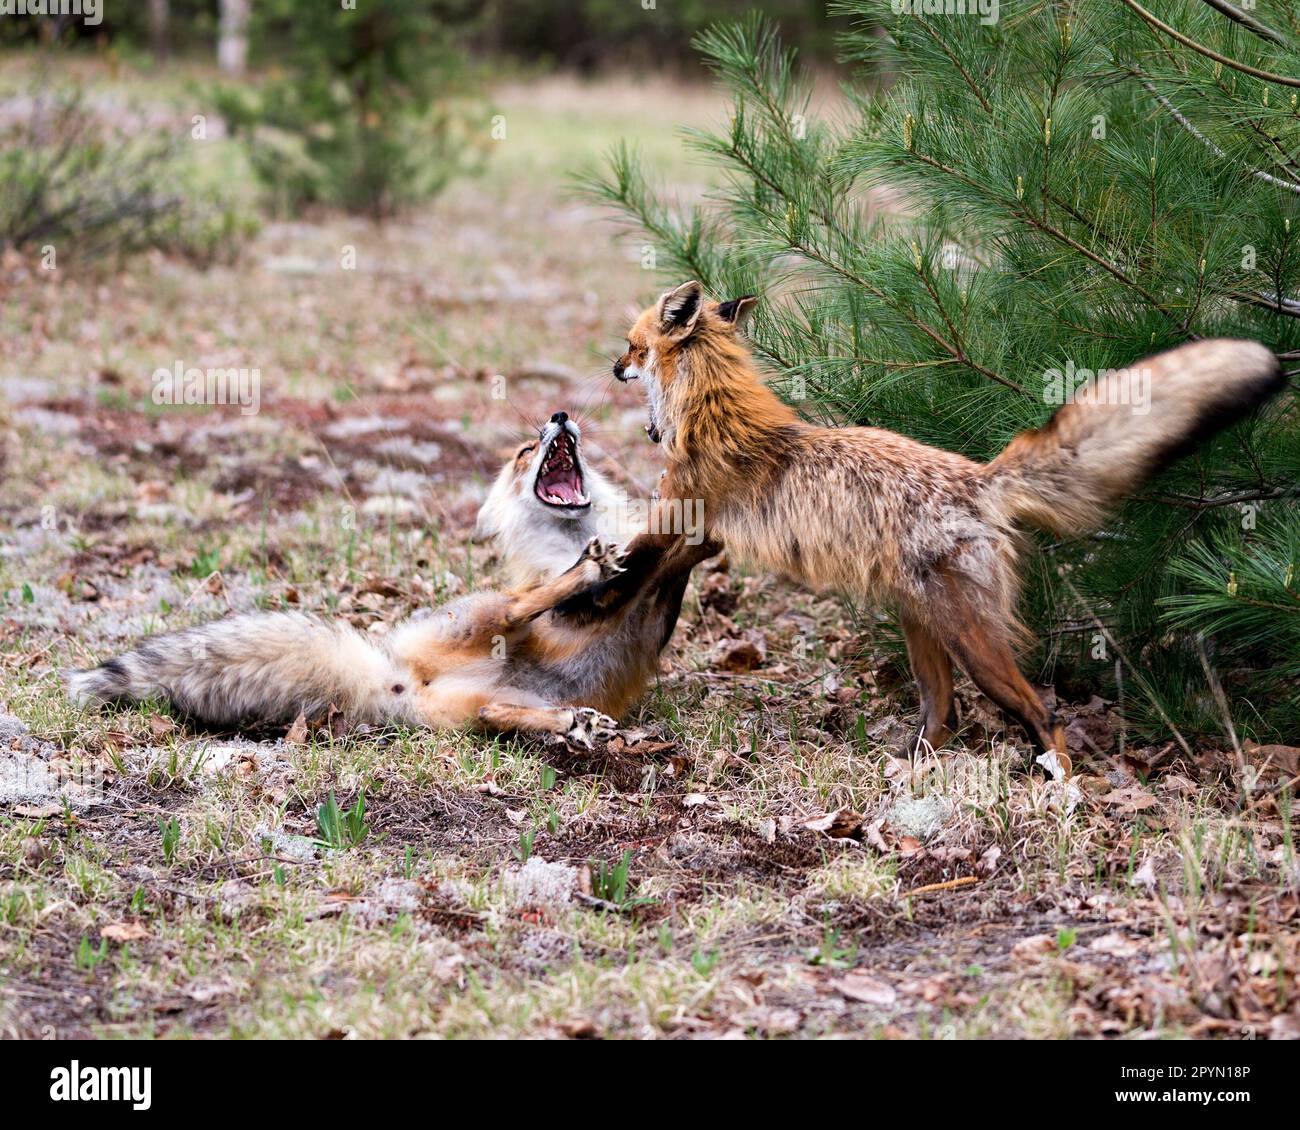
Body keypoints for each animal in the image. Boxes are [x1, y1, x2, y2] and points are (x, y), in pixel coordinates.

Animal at [613, 280, 1284, 764]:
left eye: (632, 345)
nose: (613, 366)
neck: (714, 412)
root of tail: (980, 479)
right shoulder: (691, 534)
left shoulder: (673, 518)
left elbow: (615, 566)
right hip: (924, 632)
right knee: (945, 715)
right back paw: (910, 772)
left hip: (973, 643)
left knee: (1043, 716)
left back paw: (1058, 794)